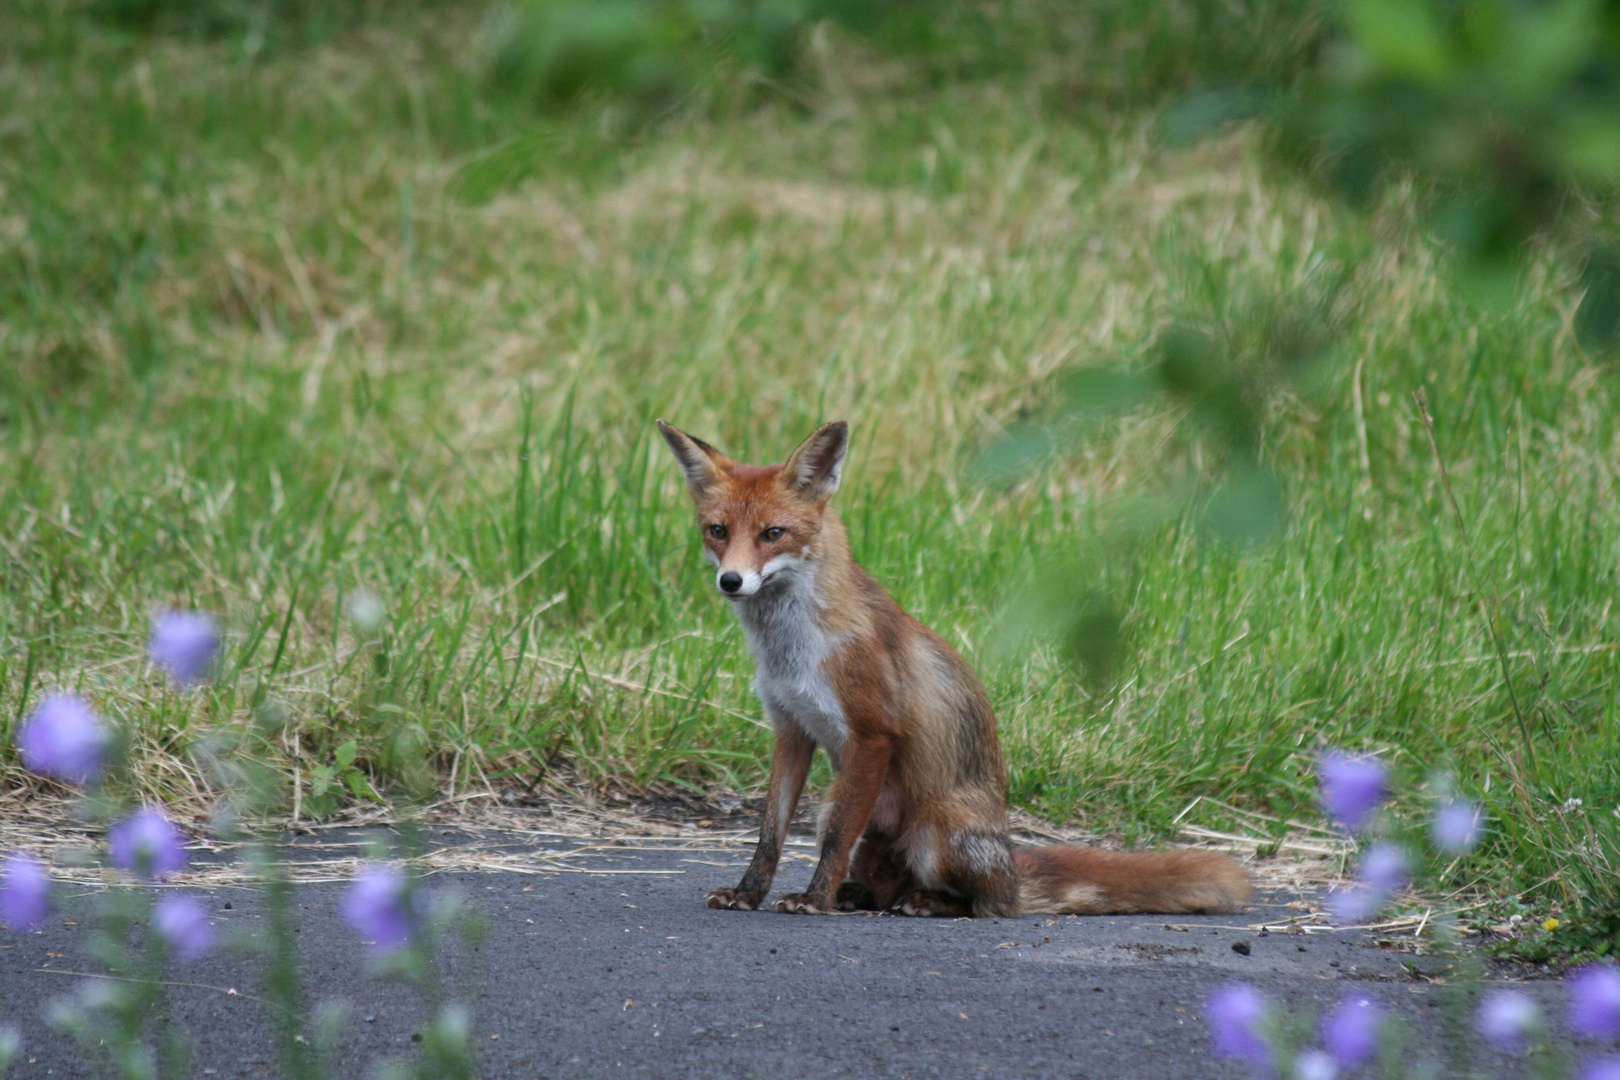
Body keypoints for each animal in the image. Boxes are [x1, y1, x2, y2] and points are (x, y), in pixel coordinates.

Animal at [657, 417, 1250, 919]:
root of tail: (1012, 869)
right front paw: (749, 893)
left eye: (773, 534)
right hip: (859, 816)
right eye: (717, 531)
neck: (791, 647)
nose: (731, 581)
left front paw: (814, 900)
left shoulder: (873, 734)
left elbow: (834, 840)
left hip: (933, 834)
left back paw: (926, 902)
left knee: (987, 905)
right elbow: (770, 835)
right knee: (886, 886)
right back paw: (863, 895)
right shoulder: (791, 730)